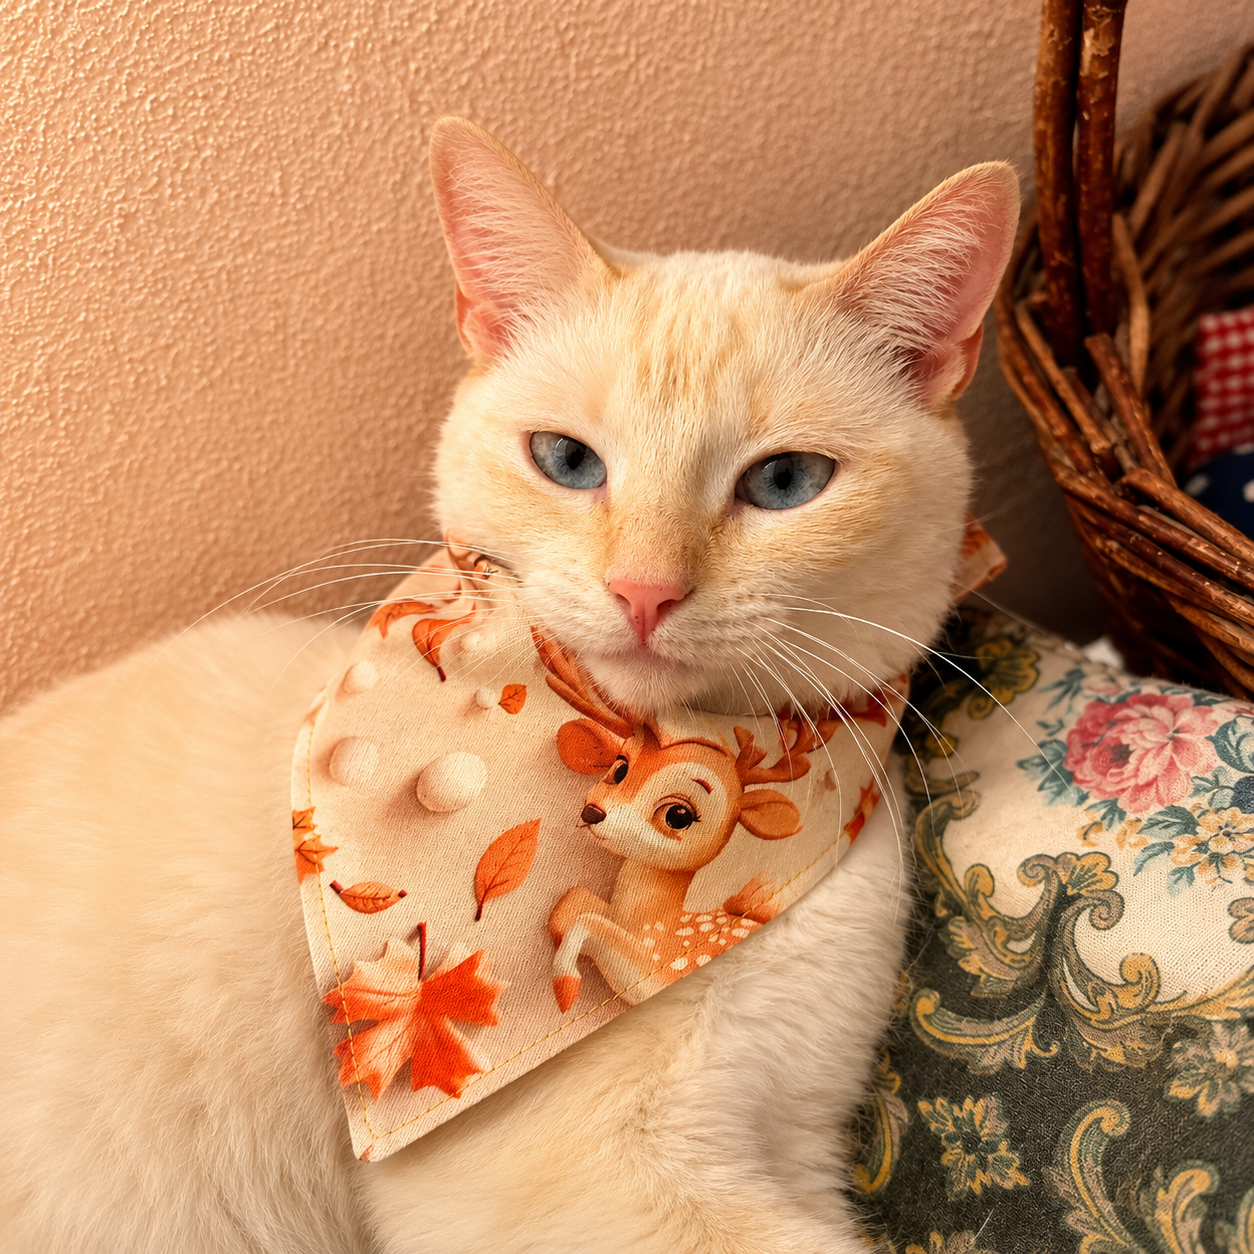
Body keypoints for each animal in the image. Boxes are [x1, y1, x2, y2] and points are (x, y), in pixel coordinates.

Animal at [532, 631, 863, 1013]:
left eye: (679, 815)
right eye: (619, 769)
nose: (592, 813)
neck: (654, 923)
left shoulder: (653, 962)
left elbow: (588, 922)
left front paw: (565, 987)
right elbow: (571, 904)